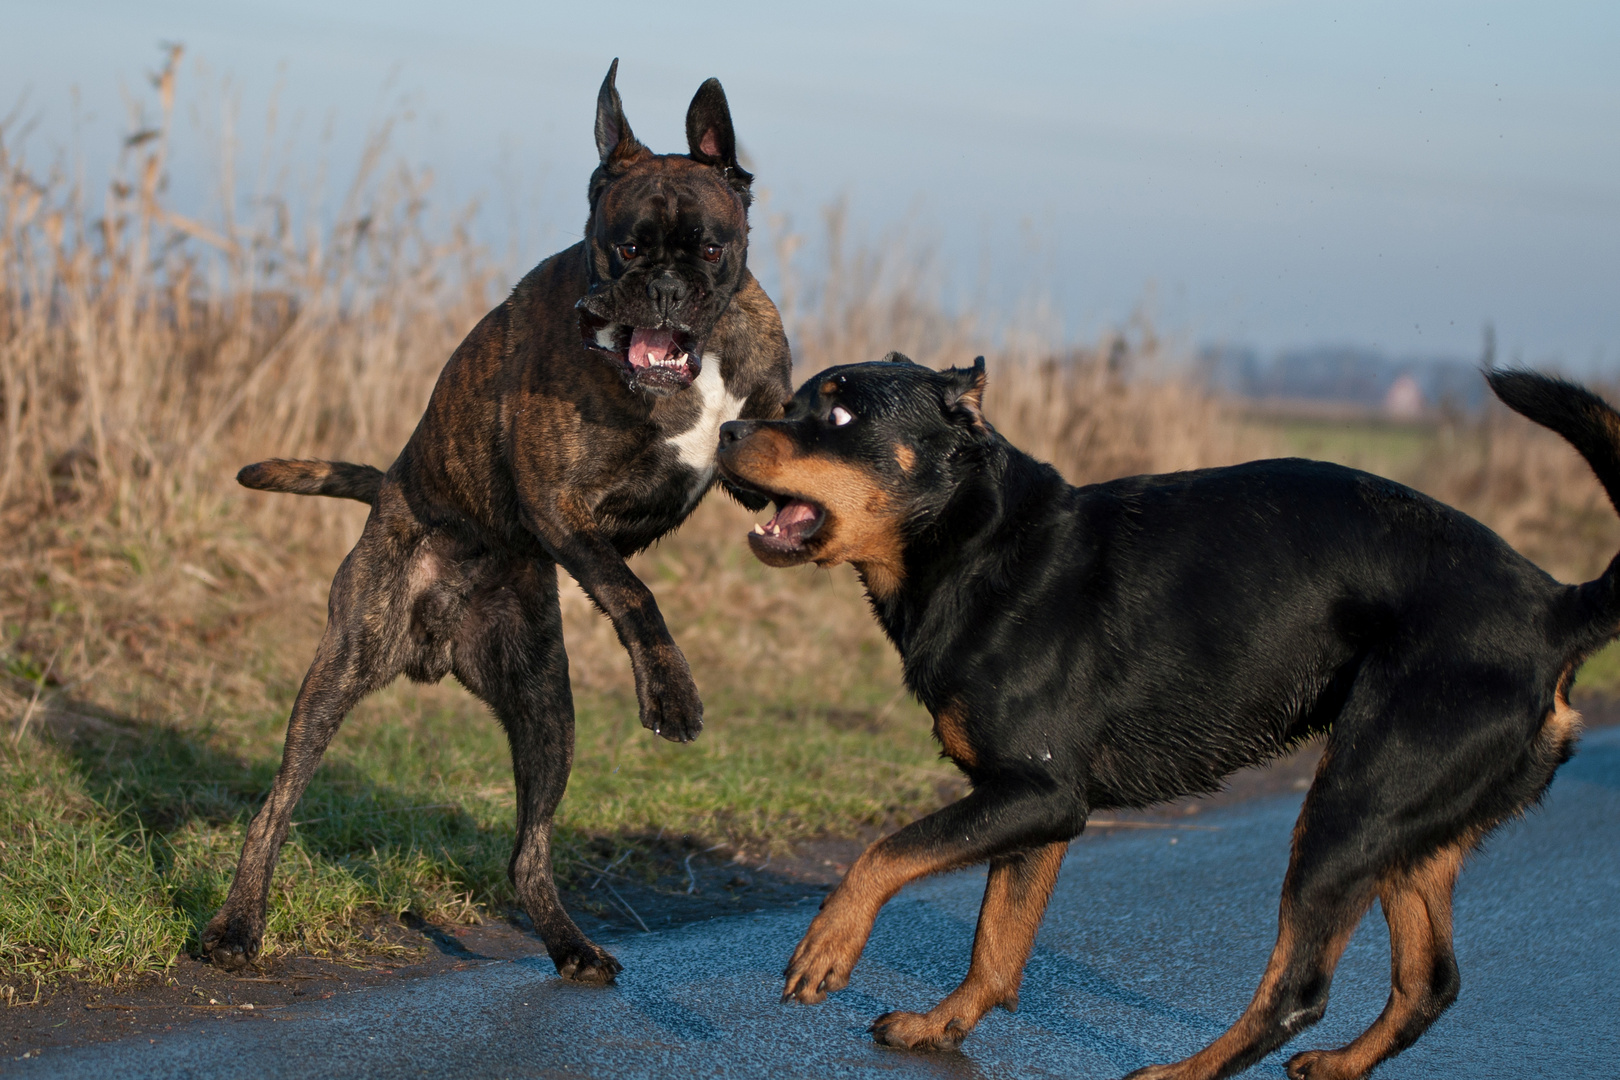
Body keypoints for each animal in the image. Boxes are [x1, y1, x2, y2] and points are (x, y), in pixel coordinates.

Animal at [199, 63, 793, 984]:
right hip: (338, 674)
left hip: (546, 711)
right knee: (275, 808)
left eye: (707, 247)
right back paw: (236, 927)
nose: (662, 289)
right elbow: (633, 592)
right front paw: (672, 690)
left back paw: (571, 944)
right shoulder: (560, 502)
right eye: (627, 247)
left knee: (528, 851)